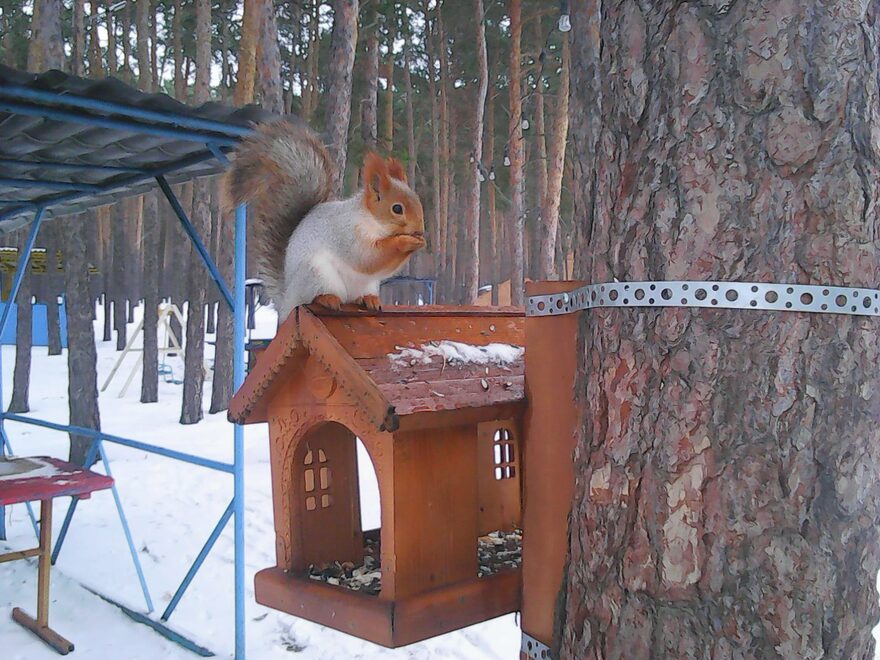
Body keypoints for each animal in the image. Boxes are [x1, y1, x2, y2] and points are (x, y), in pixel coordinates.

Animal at [227, 121, 426, 324]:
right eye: (397, 209)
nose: (420, 230)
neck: (373, 222)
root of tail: (286, 302)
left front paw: (419, 241)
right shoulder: (347, 233)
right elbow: (366, 258)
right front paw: (406, 241)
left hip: (368, 284)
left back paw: (368, 299)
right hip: (317, 275)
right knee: (315, 296)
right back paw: (327, 298)